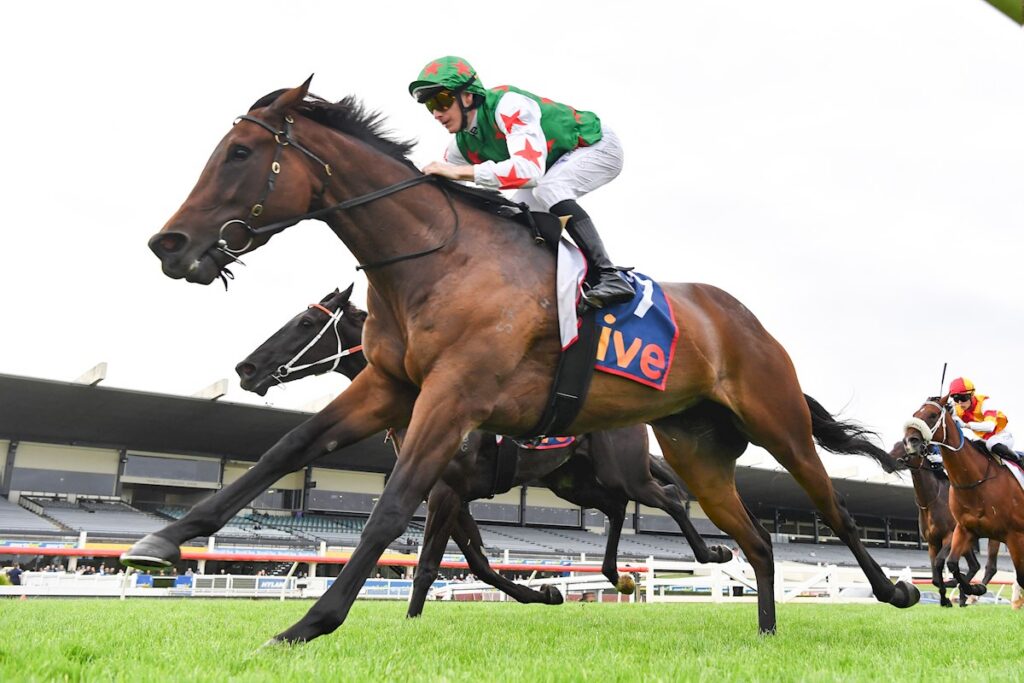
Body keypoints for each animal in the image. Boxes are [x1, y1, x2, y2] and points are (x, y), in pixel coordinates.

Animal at [235, 285, 733, 614]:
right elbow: (476, 561)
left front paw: (411, 619)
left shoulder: (444, 492)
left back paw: (712, 553)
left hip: (621, 469)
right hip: (573, 480)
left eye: (304, 324)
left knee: (668, 497)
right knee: (615, 507)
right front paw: (545, 592)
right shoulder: (451, 494)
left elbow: (432, 563)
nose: (247, 367)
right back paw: (617, 575)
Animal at [890, 441, 1000, 606]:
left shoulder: (950, 536)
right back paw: (963, 595)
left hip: (994, 536)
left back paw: (973, 591)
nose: (888, 460)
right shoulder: (932, 542)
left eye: (906, 445)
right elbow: (935, 576)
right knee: (975, 566)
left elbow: (939, 561)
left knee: (990, 567)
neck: (931, 501)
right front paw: (946, 598)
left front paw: (951, 589)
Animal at [903, 396, 1024, 608]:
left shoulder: (1014, 535)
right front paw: (971, 589)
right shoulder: (963, 529)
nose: (910, 441)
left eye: (932, 415)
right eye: (915, 414)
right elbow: (951, 563)